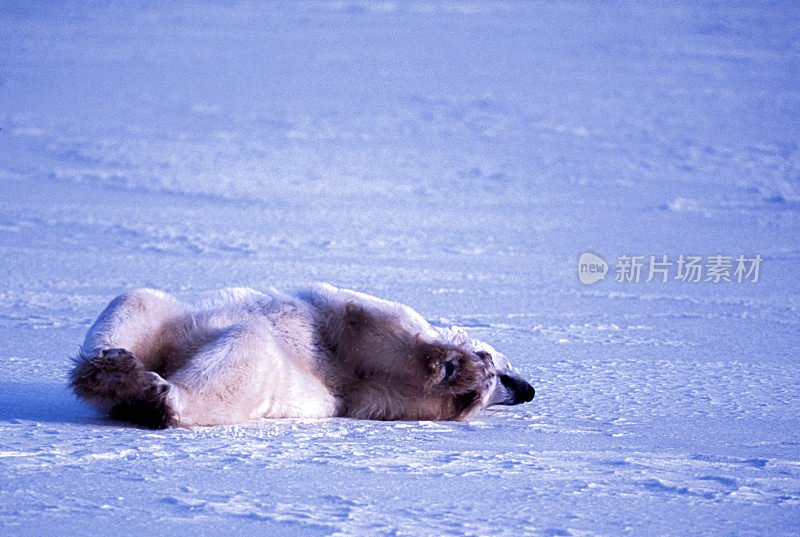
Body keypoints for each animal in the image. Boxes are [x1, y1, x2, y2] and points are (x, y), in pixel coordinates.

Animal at [67, 284, 532, 428]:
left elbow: (388, 399)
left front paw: (463, 387)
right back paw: (113, 372)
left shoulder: (364, 396)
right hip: (174, 328)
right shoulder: (342, 313)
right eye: (505, 368)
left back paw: (135, 389)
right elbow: (373, 322)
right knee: (139, 300)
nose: (527, 390)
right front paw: (462, 367)